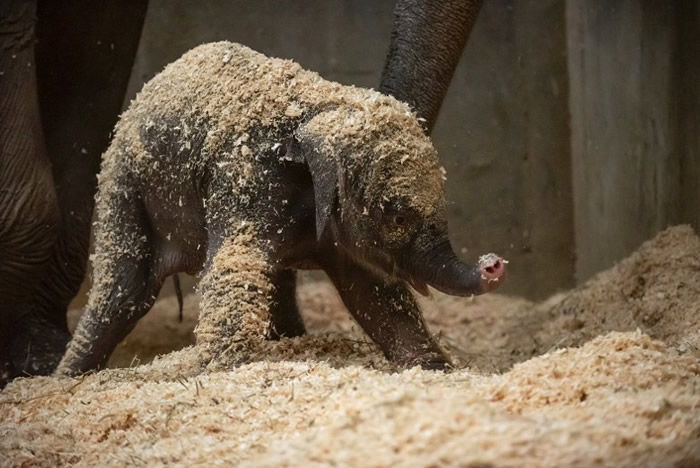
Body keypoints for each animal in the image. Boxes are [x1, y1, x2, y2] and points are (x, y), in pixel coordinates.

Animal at [54, 42, 504, 374]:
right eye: (397, 217)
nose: (493, 264)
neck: (321, 109)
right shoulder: (248, 179)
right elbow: (234, 268)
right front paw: (222, 372)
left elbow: (373, 291)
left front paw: (437, 371)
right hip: (124, 185)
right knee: (124, 288)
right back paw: (66, 379)